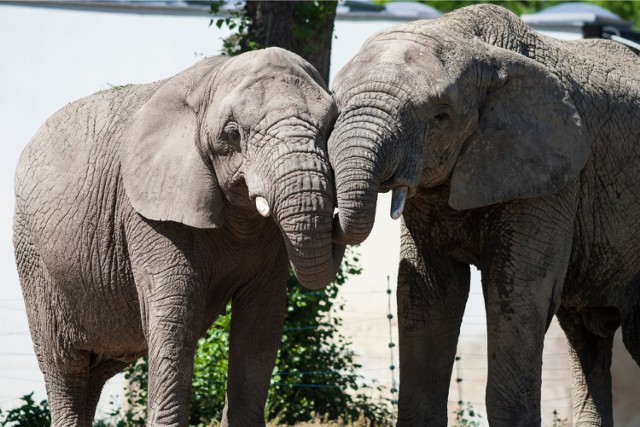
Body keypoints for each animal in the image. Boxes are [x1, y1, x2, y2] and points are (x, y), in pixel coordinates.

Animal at [328, 4, 640, 427]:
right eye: (334, 102)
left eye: (441, 117)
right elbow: (429, 290)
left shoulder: (553, 178)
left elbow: (516, 291)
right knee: (585, 337)